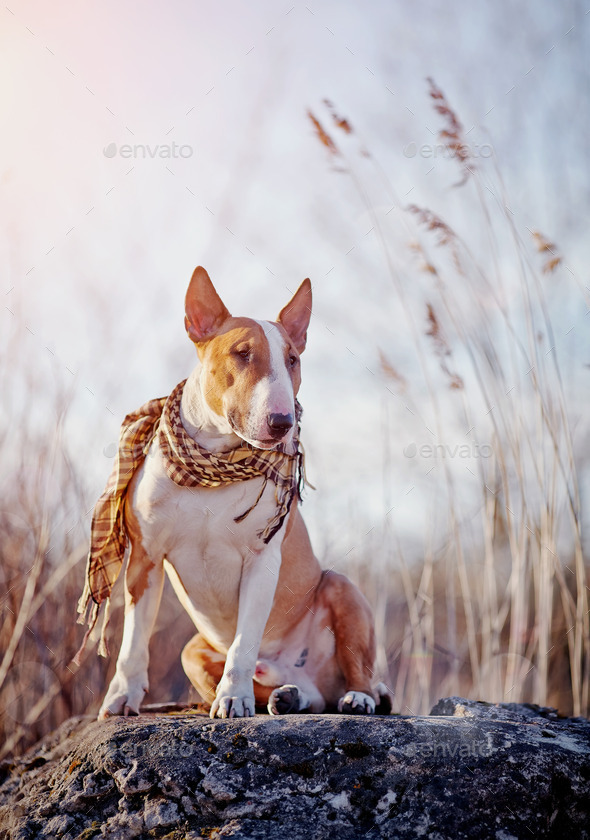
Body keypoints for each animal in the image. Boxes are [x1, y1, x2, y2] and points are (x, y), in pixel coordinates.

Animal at [88, 270, 388, 720]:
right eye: (242, 353)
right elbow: (133, 641)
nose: (282, 421)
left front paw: (233, 698)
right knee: (306, 693)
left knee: (357, 673)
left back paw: (357, 697)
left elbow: (244, 643)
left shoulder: (262, 560)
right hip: (192, 650)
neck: (214, 466)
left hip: (342, 589)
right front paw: (122, 696)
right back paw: (288, 696)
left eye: (293, 360)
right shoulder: (145, 557)